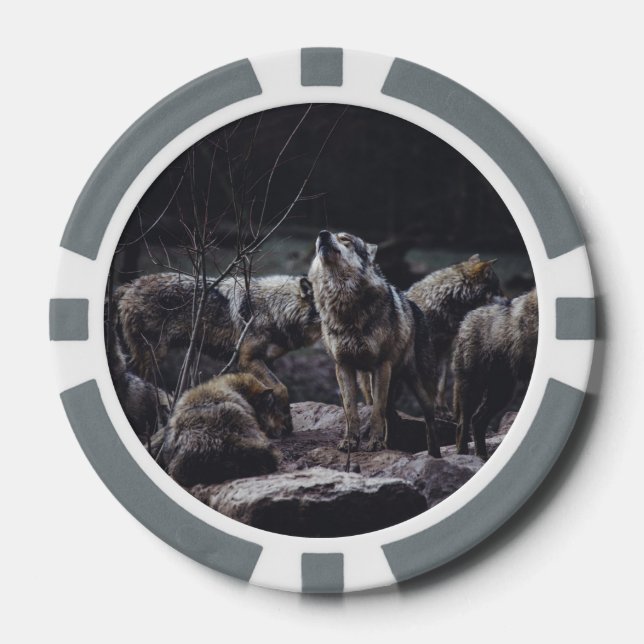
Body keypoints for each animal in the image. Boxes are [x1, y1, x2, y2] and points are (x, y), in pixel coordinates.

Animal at [115, 272, 320, 420]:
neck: (275, 308)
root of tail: (130, 285)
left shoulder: (267, 360)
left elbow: (272, 390)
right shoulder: (247, 359)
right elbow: (281, 388)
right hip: (154, 356)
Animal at [308, 230, 440, 456]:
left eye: (345, 239)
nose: (323, 234)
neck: (344, 306)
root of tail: (415, 307)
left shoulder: (381, 366)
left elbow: (376, 412)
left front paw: (375, 444)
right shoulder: (343, 366)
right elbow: (351, 411)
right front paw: (350, 442)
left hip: (418, 387)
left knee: (429, 420)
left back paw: (434, 455)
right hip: (371, 383)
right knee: (392, 416)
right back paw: (391, 444)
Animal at [452, 288, 538, 459]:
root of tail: (465, 320)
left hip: (501, 393)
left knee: (477, 421)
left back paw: (482, 457)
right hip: (474, 390)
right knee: (463, 424)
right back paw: (464, 456)